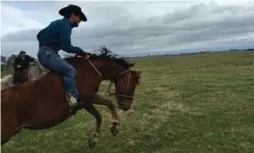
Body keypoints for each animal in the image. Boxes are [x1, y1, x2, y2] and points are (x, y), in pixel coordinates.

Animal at [0, 47, 141, 149]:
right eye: (132, 85)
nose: (126, 106)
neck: (88, 72)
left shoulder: (91, 97)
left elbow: (109, 103)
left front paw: (115, 126)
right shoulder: (86, 101)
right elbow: (99, 116)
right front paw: (94, 139)